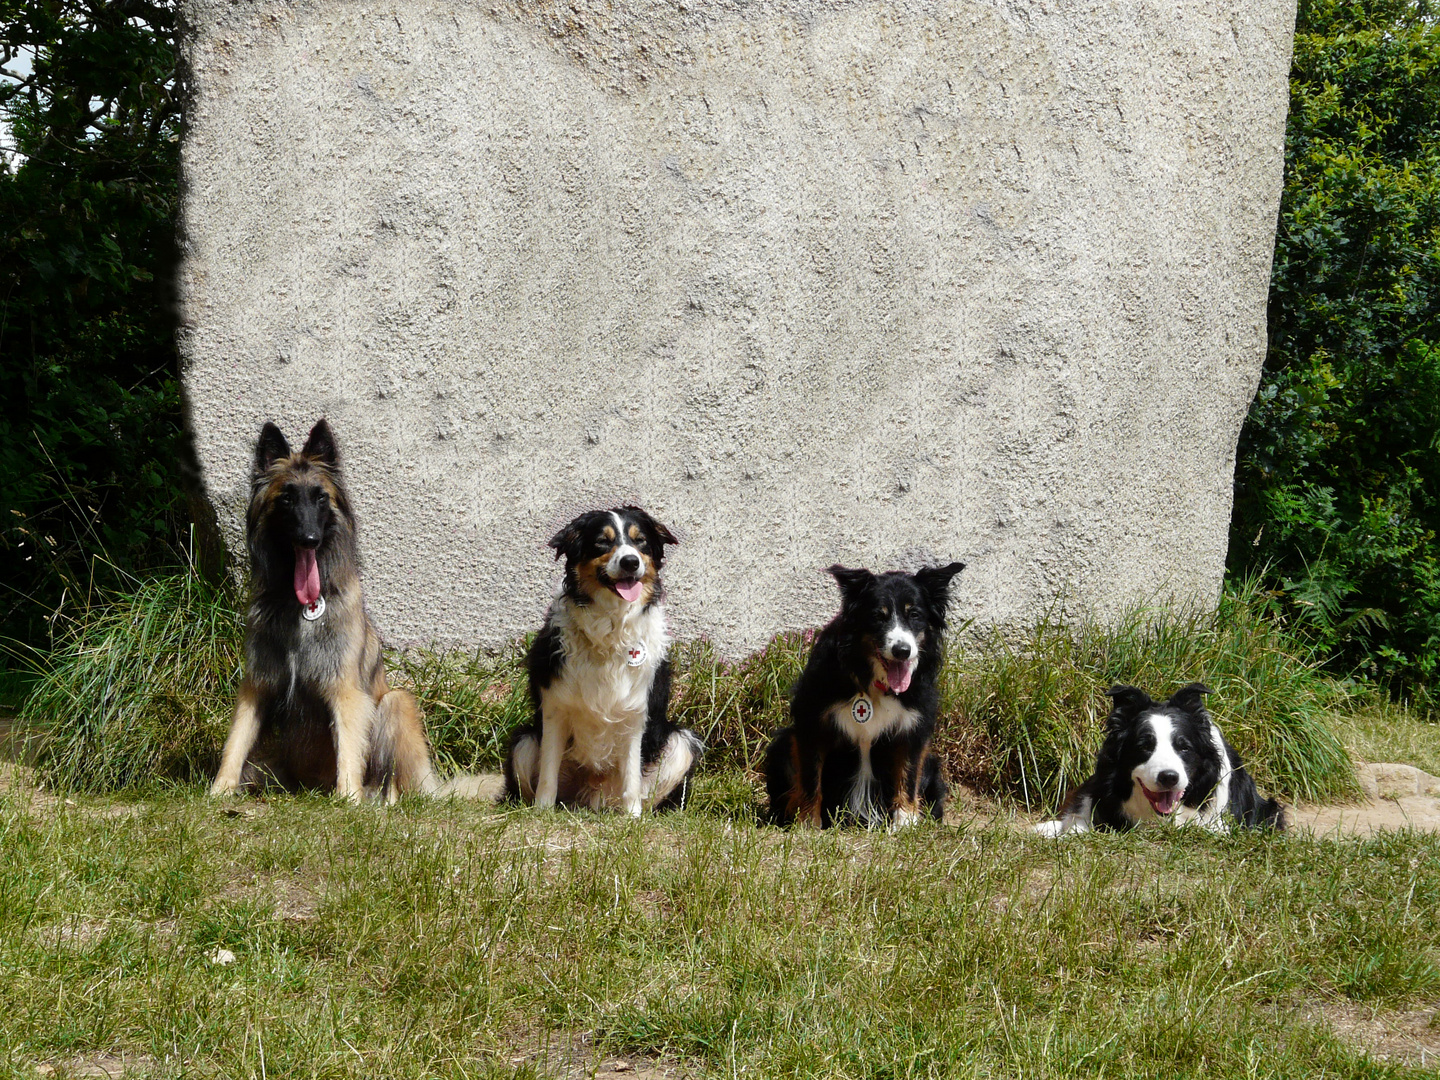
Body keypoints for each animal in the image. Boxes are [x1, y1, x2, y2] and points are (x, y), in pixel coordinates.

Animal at [207, 423, 432, 806]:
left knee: (393, 783)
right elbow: (235, 741)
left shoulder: (345, 691)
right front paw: (219, 790)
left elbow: (348, 750)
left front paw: (348, 799)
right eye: (287, 499)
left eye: (320, 498)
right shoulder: (257, 687)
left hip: (396, 702)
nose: (310, 539)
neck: (299, 606)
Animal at [504, 512, 705, 817]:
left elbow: (632, 778)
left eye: (640, 541)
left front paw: (633, 818)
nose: (630, 562)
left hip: (681, 743)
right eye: (601, 542)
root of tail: (592, 795)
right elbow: (548, 773)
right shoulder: (554, 708)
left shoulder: (637, 712)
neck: (611, 629)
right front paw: (542, 812)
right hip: (524, 742)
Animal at [766, 561, 967, 835]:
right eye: (877, 616)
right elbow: (810, 777)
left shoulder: (914, 724)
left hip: (933, 765)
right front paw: (808, 825)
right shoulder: (812, 719)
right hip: (781, 745)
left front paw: (905, 824)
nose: (902, 651)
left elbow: (908, 774)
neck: (875, 680)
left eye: (915, 615)